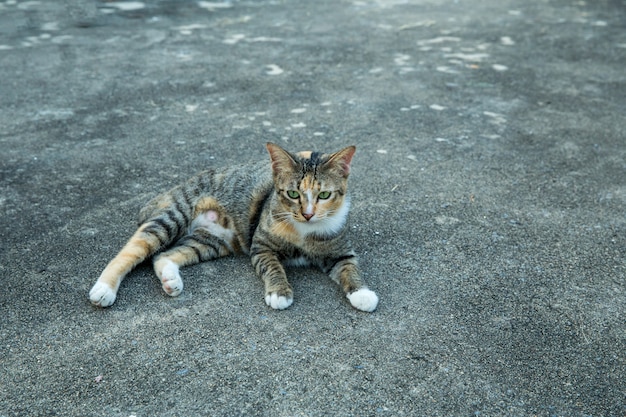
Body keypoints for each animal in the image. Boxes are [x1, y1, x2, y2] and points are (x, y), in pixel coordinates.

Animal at [89, 141, 378, 310]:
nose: (307, 214)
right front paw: (279, 293)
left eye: (324, 195)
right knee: (132, 250)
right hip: (173, 216)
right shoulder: (261, 246)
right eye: (293, 194)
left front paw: (362, 294)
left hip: (212, 241)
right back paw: (103, 289)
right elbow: (273, 267)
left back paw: (171, 280)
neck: (305, 232)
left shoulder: (340, 251)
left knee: (163, 255)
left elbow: (350, 268)